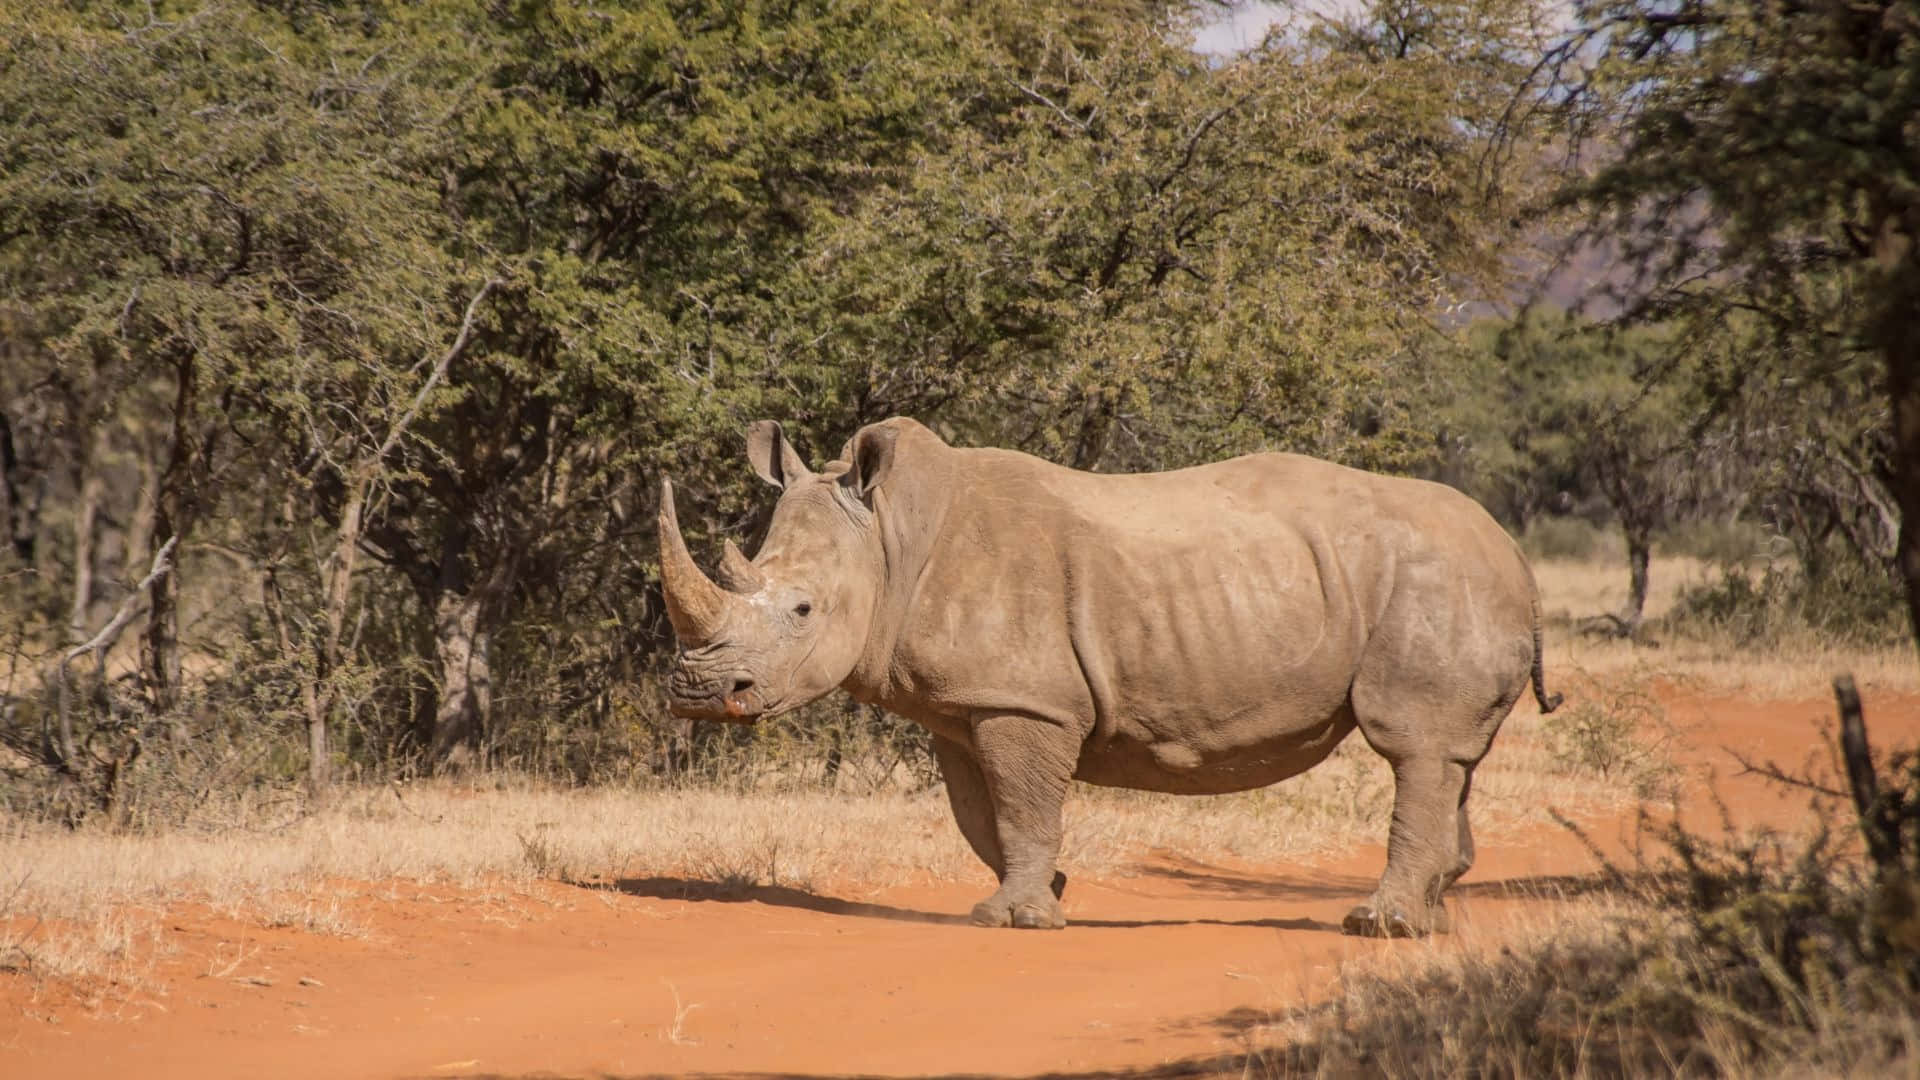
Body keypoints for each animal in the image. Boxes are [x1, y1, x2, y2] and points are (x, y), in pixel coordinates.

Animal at [658, 417, 1562, 936]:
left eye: (803, 610)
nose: (699, 695)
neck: (890, 537)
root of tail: (1515, 553)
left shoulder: (1027, 703)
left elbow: (1021, 808)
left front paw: (1016, 920)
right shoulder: (966, 706)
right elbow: (982, 817)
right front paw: (1047, 892)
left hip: (1438, 580)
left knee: (1412, 746)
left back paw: (1378, 926)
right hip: (1447, 582)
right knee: (1449, 758)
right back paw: (1432, 918)